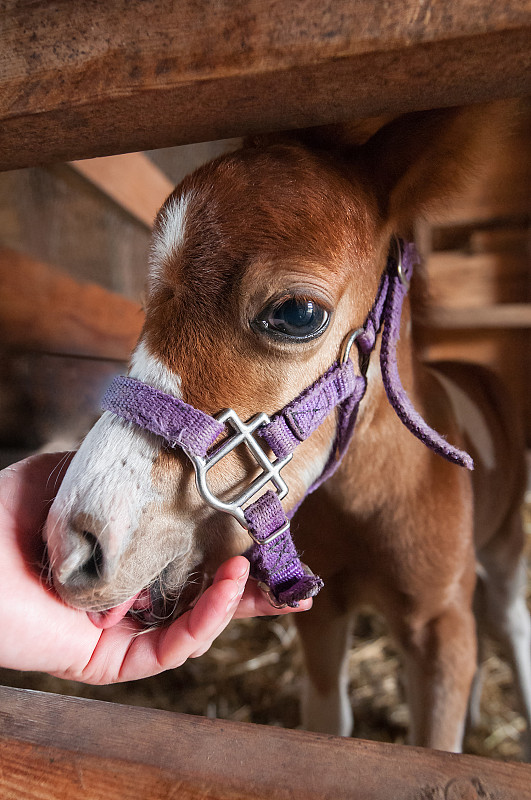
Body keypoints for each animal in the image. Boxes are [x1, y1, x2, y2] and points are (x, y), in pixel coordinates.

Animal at [46, 108, 531, 756]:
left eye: (298, 314)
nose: (73, 542)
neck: (370, 500)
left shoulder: (439, 630)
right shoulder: (321, 618)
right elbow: (330, 722)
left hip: (503, 552)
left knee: (507, 621)